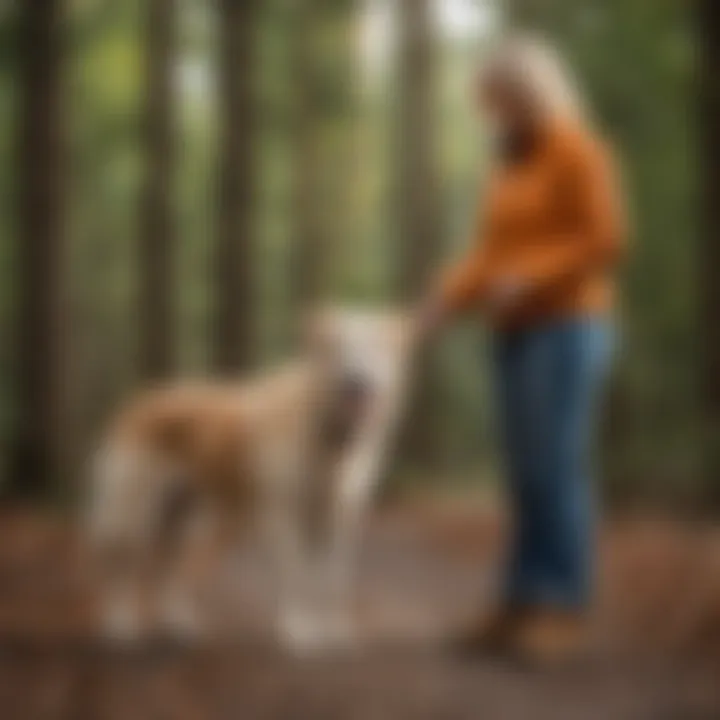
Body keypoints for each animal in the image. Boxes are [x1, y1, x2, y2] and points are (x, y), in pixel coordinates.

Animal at [86, 306, 414, 648]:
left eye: (376, 348)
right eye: (339, 348)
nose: (358, 381)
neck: (325, 433)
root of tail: (135, 403)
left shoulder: (339, 520)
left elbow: (332, 581)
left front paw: (333, 632)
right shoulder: (283, 518)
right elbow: (296, 577)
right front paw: (299, 632)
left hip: (179, 522)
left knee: (166, 570)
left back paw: (174, 624)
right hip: (134, 517)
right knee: (120, 568)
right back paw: (119, 626)